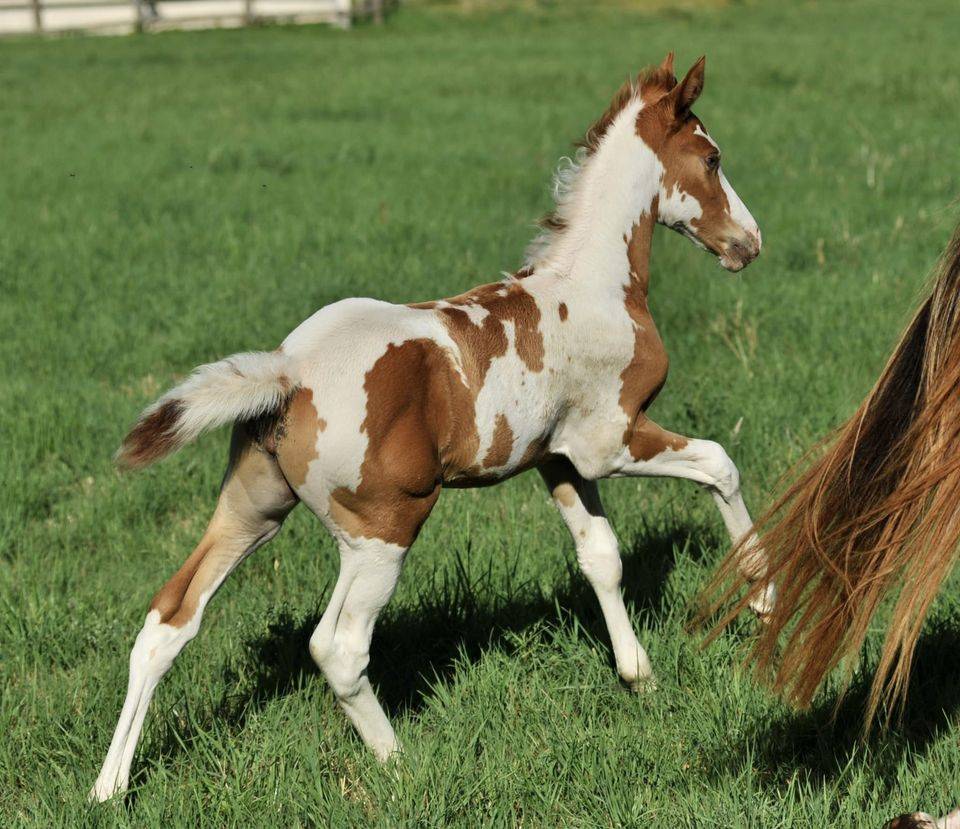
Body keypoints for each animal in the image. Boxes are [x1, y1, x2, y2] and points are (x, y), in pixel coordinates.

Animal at [90, 53, 775, 802]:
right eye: (712, 158)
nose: (749, 244)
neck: (593, 286)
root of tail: (288, 370)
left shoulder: (556, 459)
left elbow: (601, 556)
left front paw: (637, 675)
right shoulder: (610, 441)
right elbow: (720, 463)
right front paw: (764, 598)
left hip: (254, 511)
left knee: (169, 621)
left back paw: (109, 787)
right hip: (384, 529)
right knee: (338, 647)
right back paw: (399, 764)